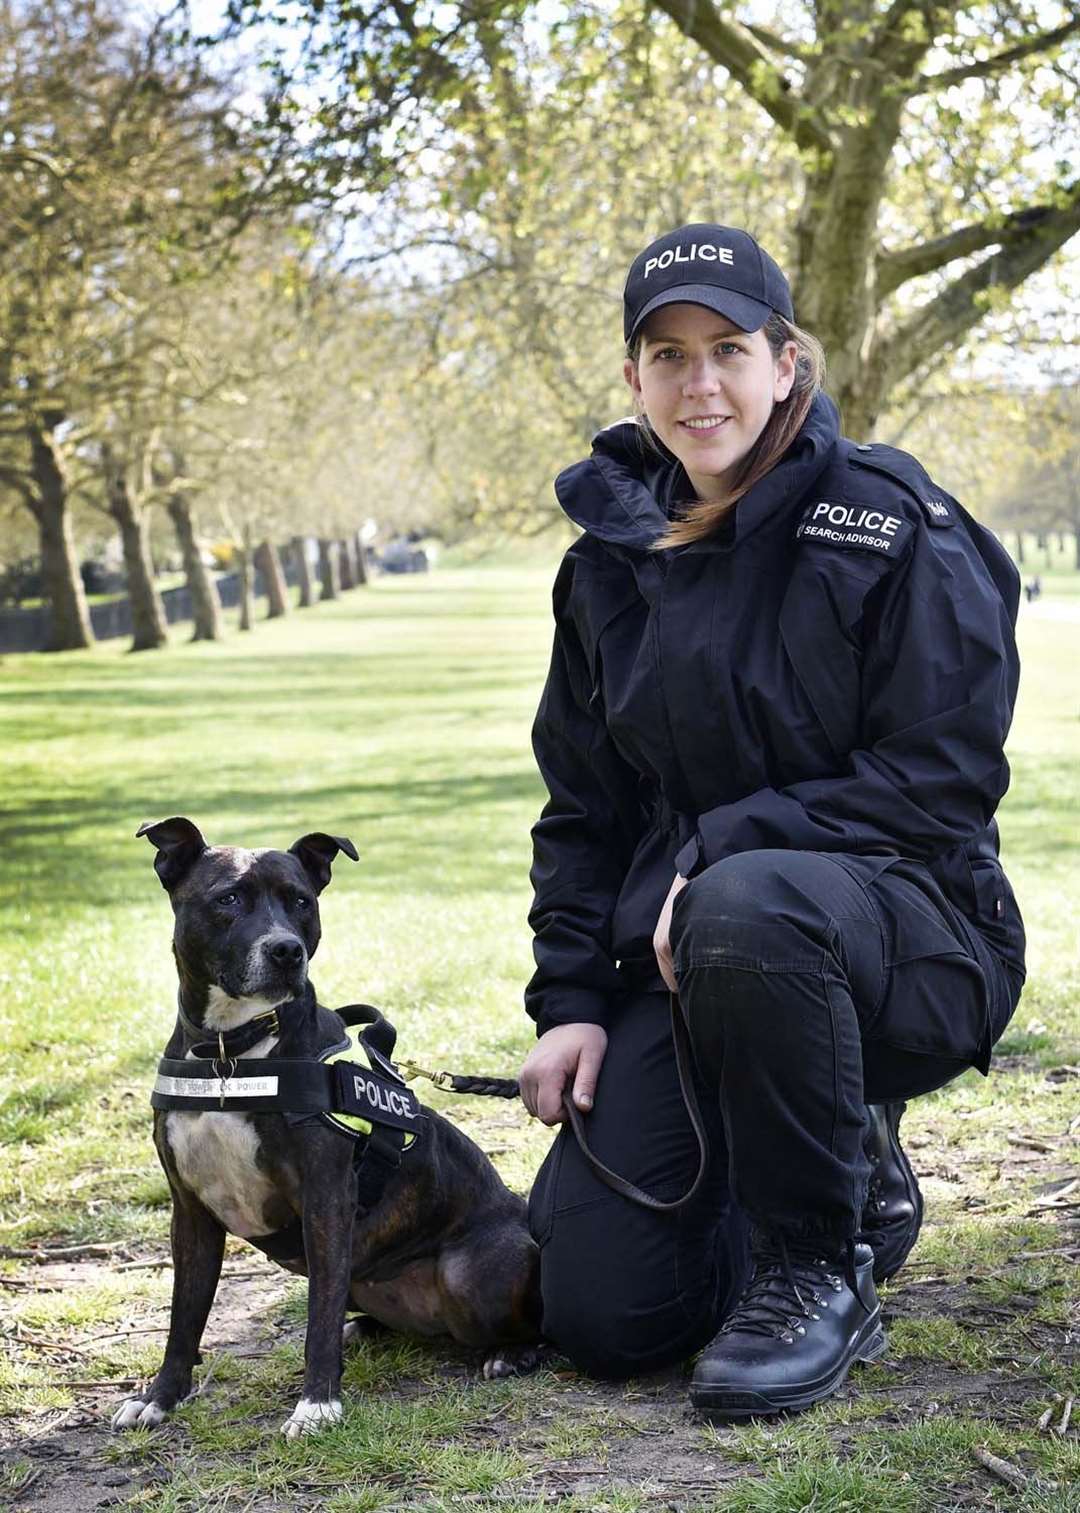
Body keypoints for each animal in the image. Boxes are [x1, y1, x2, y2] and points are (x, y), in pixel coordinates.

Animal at [111, 823, 538, 1434]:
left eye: (301, 902)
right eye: (227, 899)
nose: (286, 949)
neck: (230, 1054)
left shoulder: (326, 1199)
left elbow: (318, 1313)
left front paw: (317, 1404)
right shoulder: (189, 1212)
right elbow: (183, 1317)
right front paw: (161, 1397)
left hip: (471, 1272)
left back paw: (510, 1353)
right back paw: (364, 1328)